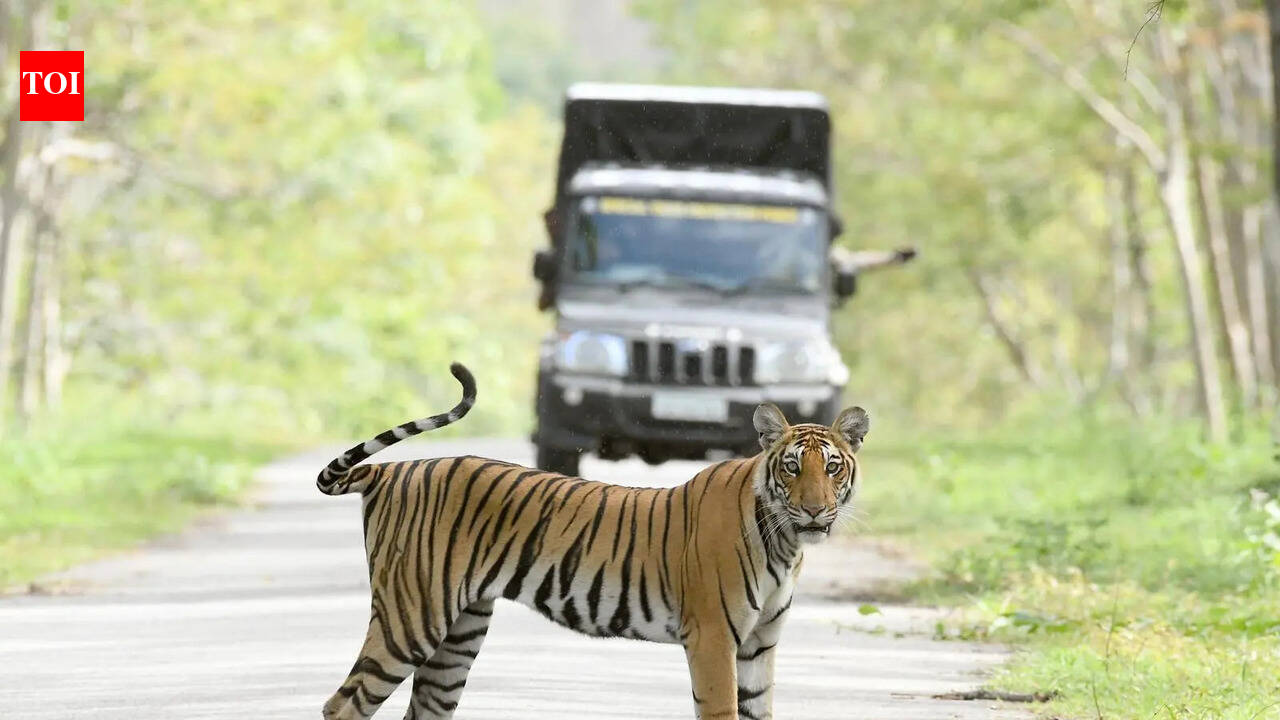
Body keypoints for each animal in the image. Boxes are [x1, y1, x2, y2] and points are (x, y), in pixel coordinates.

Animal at [317, 362, 870, 720]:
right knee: (342, 705)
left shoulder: (759, 645)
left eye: (832, 467)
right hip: (411, 617)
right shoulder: (713, 638)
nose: (815, 510)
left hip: (460, 631)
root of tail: (394, 470)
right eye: (792, 467)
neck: (786, 544)